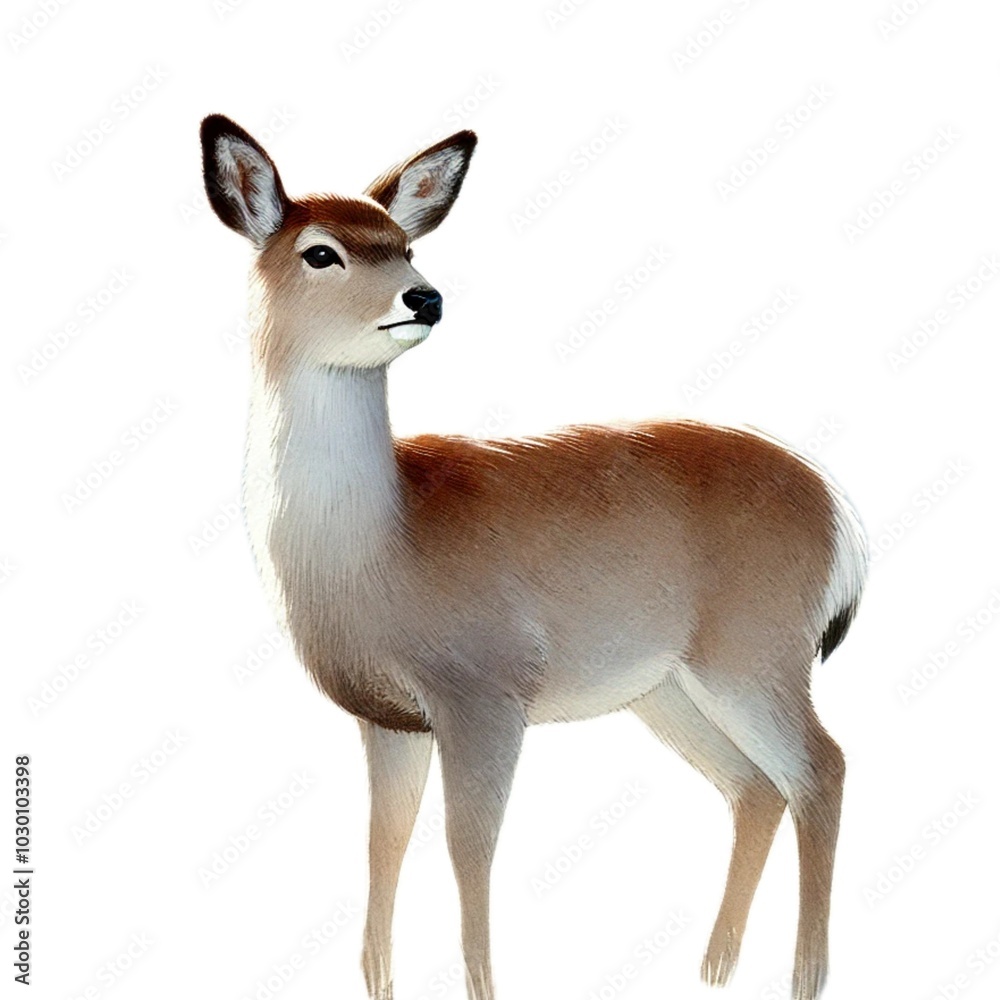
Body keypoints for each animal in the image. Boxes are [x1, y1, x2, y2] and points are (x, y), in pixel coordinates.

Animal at [200, 113, 867, 1000]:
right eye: (320, 252)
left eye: (403, 246)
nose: (425, 296)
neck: (382, 548)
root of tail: (840, 513)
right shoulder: (390, 716)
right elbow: (384, 845)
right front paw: (379, 979)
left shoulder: (485, 688)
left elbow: (467, 847)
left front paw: (482, 984)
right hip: (669, 685)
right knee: (757, 786)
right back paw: (714, 967)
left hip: (756, 650)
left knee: (821, 768)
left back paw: (804, 974)